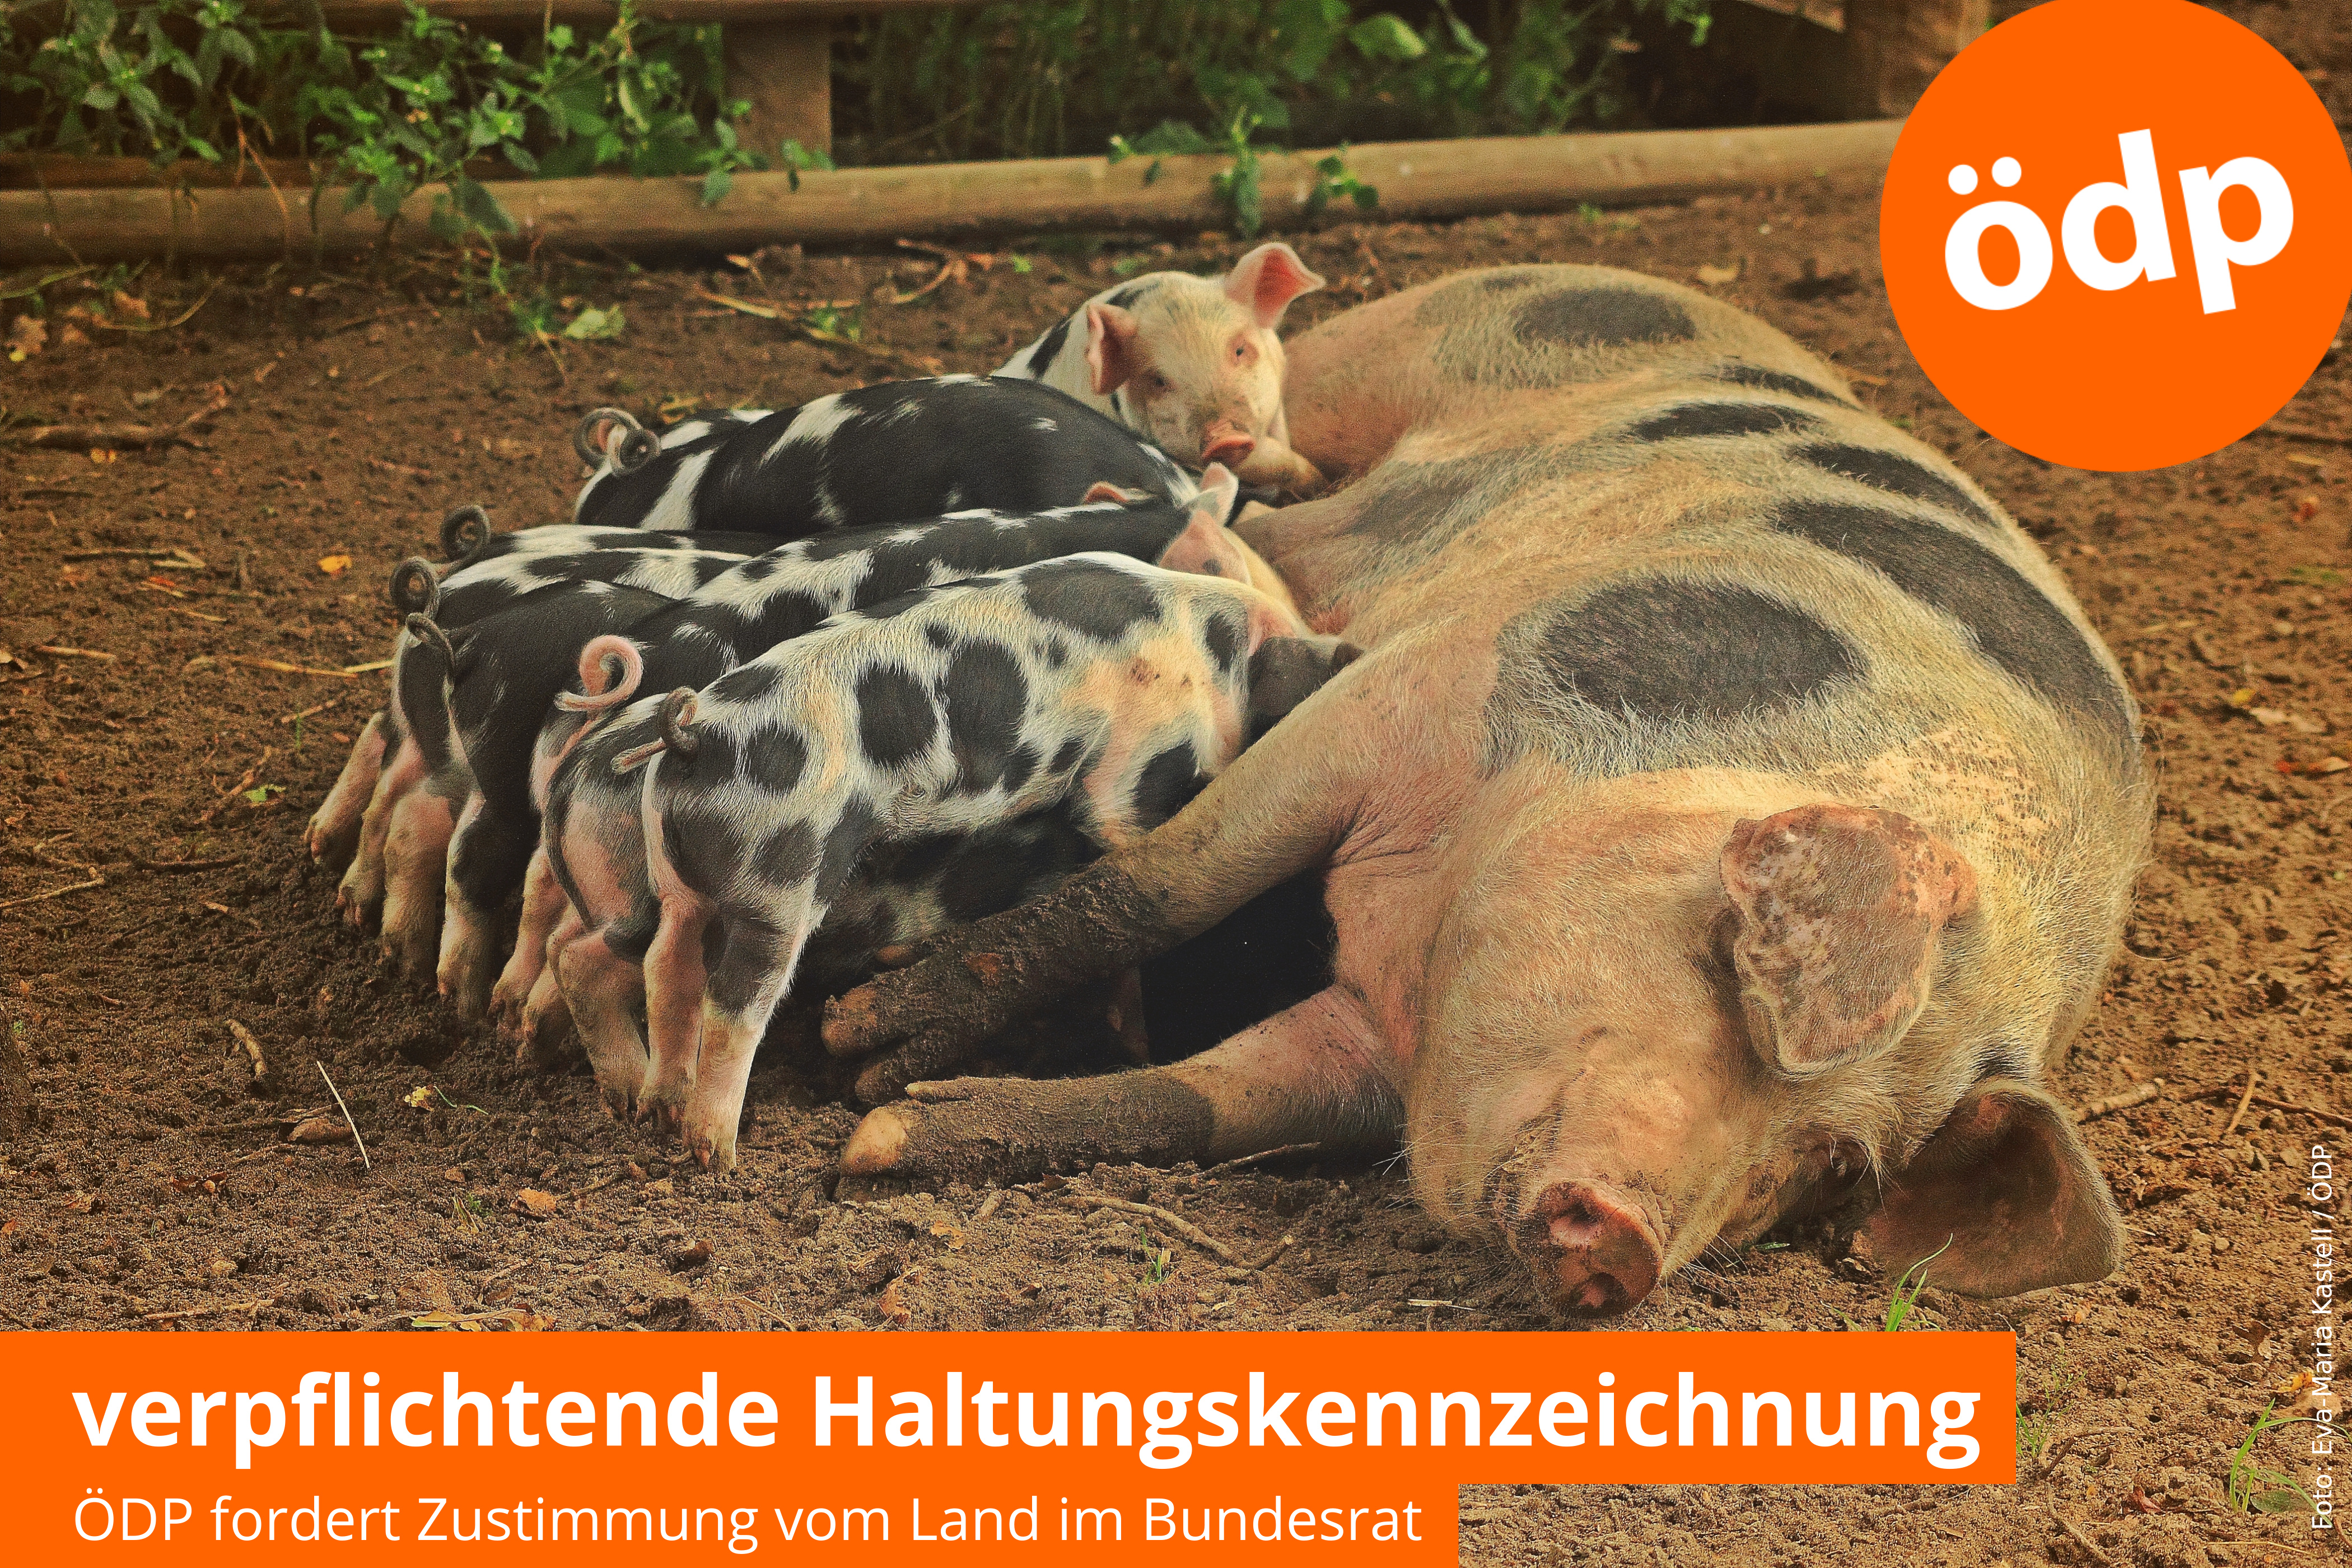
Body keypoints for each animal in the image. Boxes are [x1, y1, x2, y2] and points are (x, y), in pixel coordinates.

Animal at [543, 554, 1353, 1167]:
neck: (1215, 642)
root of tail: (691, 738)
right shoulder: (1137, 757)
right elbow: (1117, 823)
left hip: (674, 880)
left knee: (659, 966)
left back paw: (654, 1108)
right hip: (784, 872)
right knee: (733, 1000)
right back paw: (719, 1152)